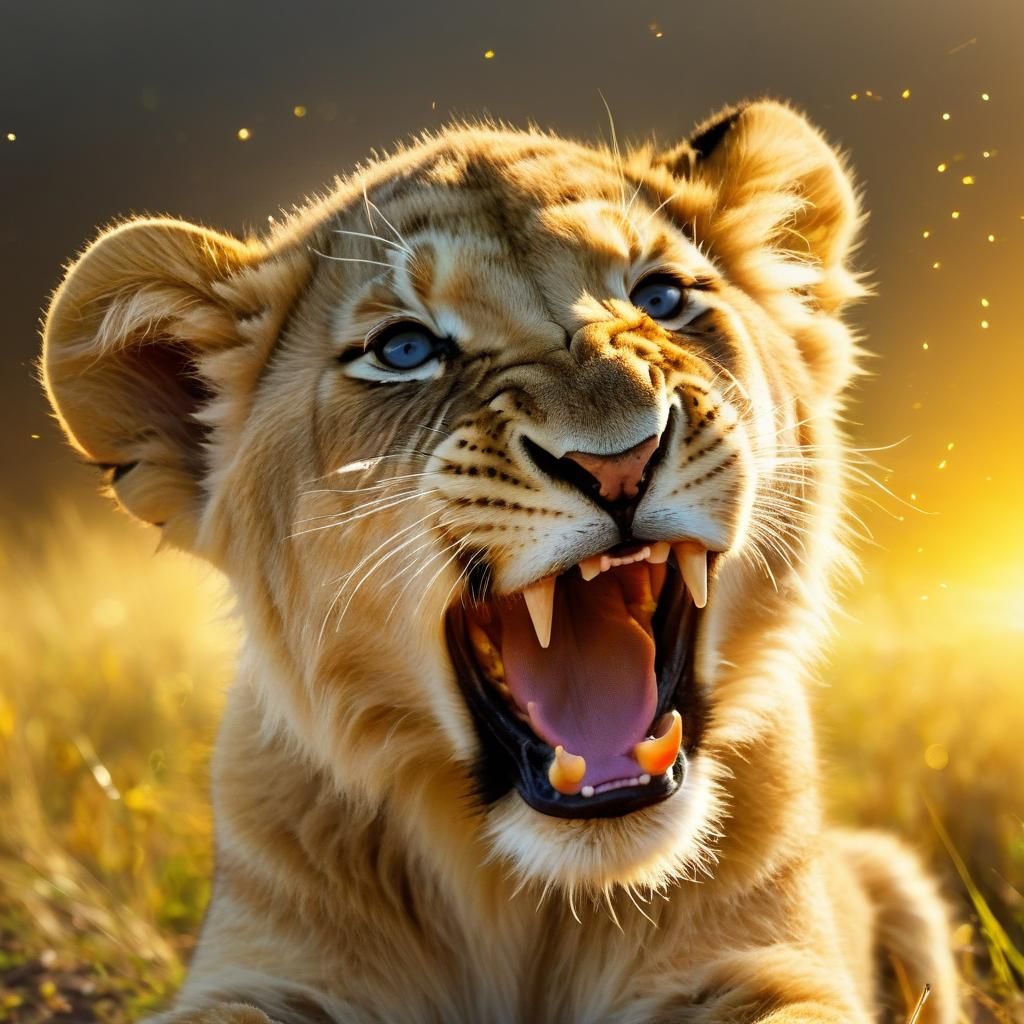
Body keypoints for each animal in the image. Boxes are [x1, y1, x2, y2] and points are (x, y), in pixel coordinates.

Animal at [42, 100, 958, 1023]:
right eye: (404, 350)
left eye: (661, 297)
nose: (617, 462)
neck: (529, 900)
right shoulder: (262, 973)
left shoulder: (771, 963)